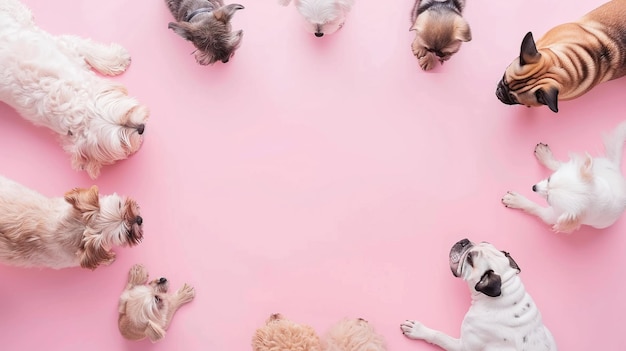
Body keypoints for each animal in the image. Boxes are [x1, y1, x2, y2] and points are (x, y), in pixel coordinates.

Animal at [0, 0, 149, 180]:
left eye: (126, 116)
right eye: (121, 142)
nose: (141, 128)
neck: (71, 104)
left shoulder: (66, 47)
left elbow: (89, 49)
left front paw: (116, 58)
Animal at [400, 239, 556, 351]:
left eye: (469, 258)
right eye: (483, 241)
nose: (465, 241)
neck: (505, 287)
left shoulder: (463, 346)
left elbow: (439, 336)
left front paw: (418, 330)